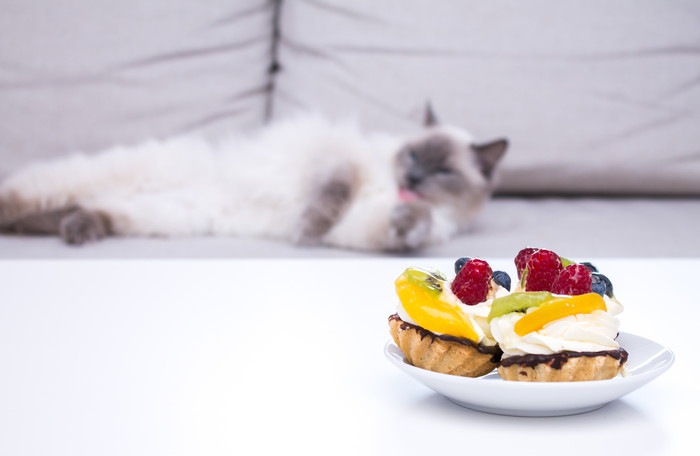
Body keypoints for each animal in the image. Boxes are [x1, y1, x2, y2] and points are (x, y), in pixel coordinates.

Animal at [0, 106, 506, 253]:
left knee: (86, 212)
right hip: (74, 184)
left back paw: (76, 232)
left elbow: (409, 225)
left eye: (443, 171)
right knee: (19, 200)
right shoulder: (340, 165)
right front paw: (305, 234)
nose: (413, 176)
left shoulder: (363, 225)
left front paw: (409, 224)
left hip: (155, 215)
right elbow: (329, 200)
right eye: (414, 154)